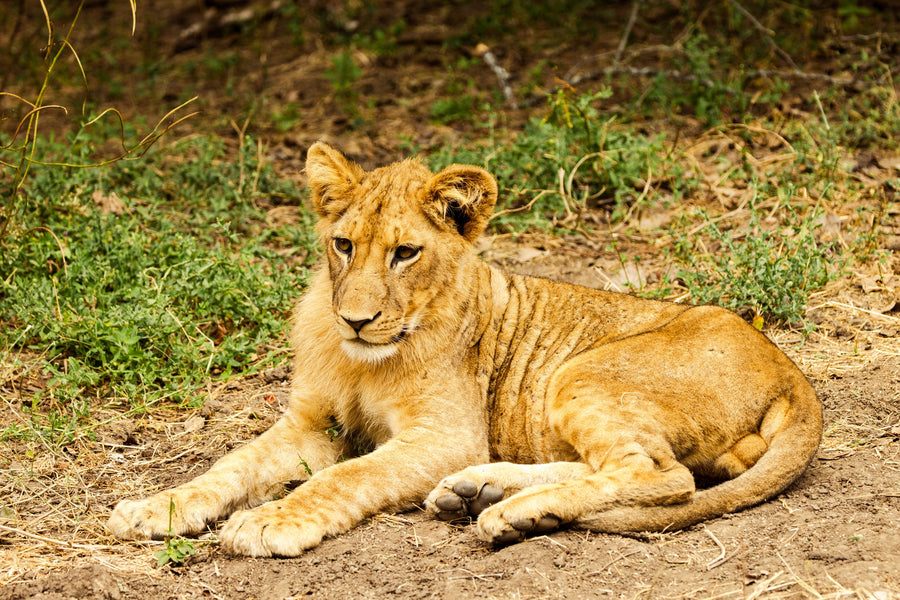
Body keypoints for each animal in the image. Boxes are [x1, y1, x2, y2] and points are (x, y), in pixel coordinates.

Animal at [108, 142, 822, 557]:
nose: (357, 320)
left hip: (581, 373)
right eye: (343, 245)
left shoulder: (444, 434)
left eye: (405, 252)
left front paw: (268, 523)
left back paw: (513, 513)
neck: (363, 361)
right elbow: (228, 467)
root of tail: (791, 372)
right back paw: (480, 492)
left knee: (663, 476)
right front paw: (153, 508)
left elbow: (346, 475)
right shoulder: (311, 424)